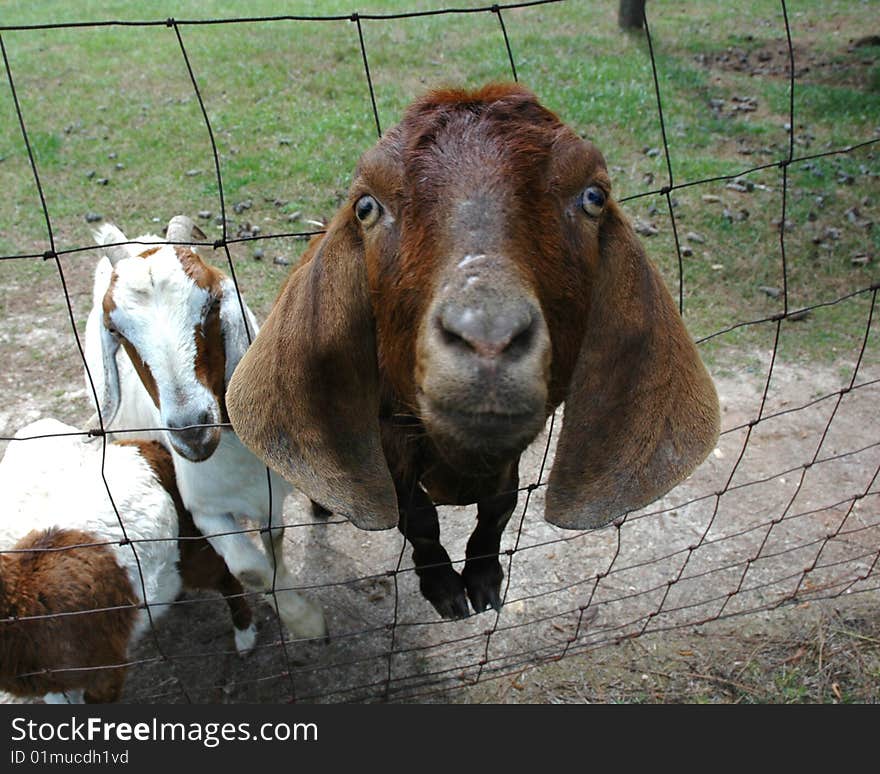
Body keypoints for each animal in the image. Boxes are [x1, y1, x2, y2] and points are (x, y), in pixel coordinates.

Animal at [0, 422, 254, 708]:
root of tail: (145, 446)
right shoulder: (53, 683)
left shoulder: (103, 667)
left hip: (191, 543)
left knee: (226, 575)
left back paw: (245, 637)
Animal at [83, 217, 326, 644]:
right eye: (117, 331)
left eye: (212, 304)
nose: (192, 431)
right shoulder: (203, 507)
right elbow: (249, 568)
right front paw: (306, 621)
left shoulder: (269, 494)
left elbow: (275, 540)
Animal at [229, 82, 720, 620]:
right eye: (366, 207)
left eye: (593, 196)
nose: (487, 335)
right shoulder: (389, 434)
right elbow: (417, 517)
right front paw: (445, 588)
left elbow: (500, 506)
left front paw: (483, 581)